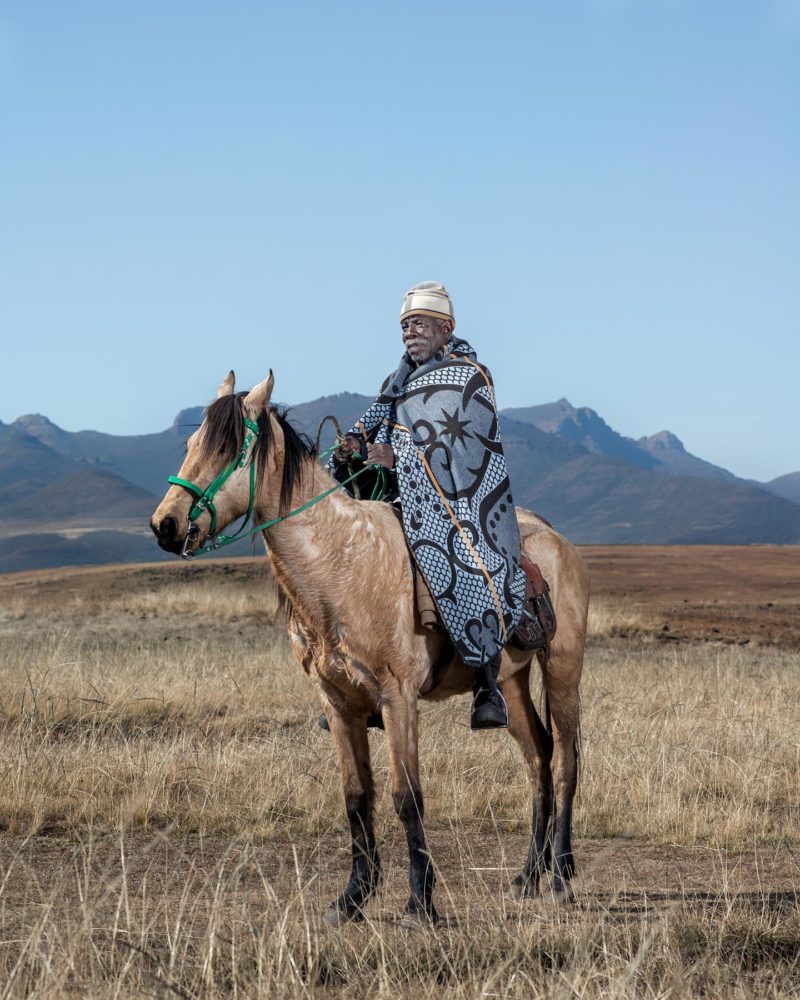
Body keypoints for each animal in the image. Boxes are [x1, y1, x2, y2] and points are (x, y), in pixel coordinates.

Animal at [152, 372, 588, 924]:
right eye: (191, 444)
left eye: (228, 448)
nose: (165, 525)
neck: (340, 564)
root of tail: (557, 541)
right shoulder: (339, 704)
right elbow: (357, 798)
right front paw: (353, 897)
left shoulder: (397, 697)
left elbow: (408, 797)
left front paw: (420, 901)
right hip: (510, 682)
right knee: (537, 759)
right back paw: (528, 875)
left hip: (563, 666)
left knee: (567, 760)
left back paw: (561, 876)